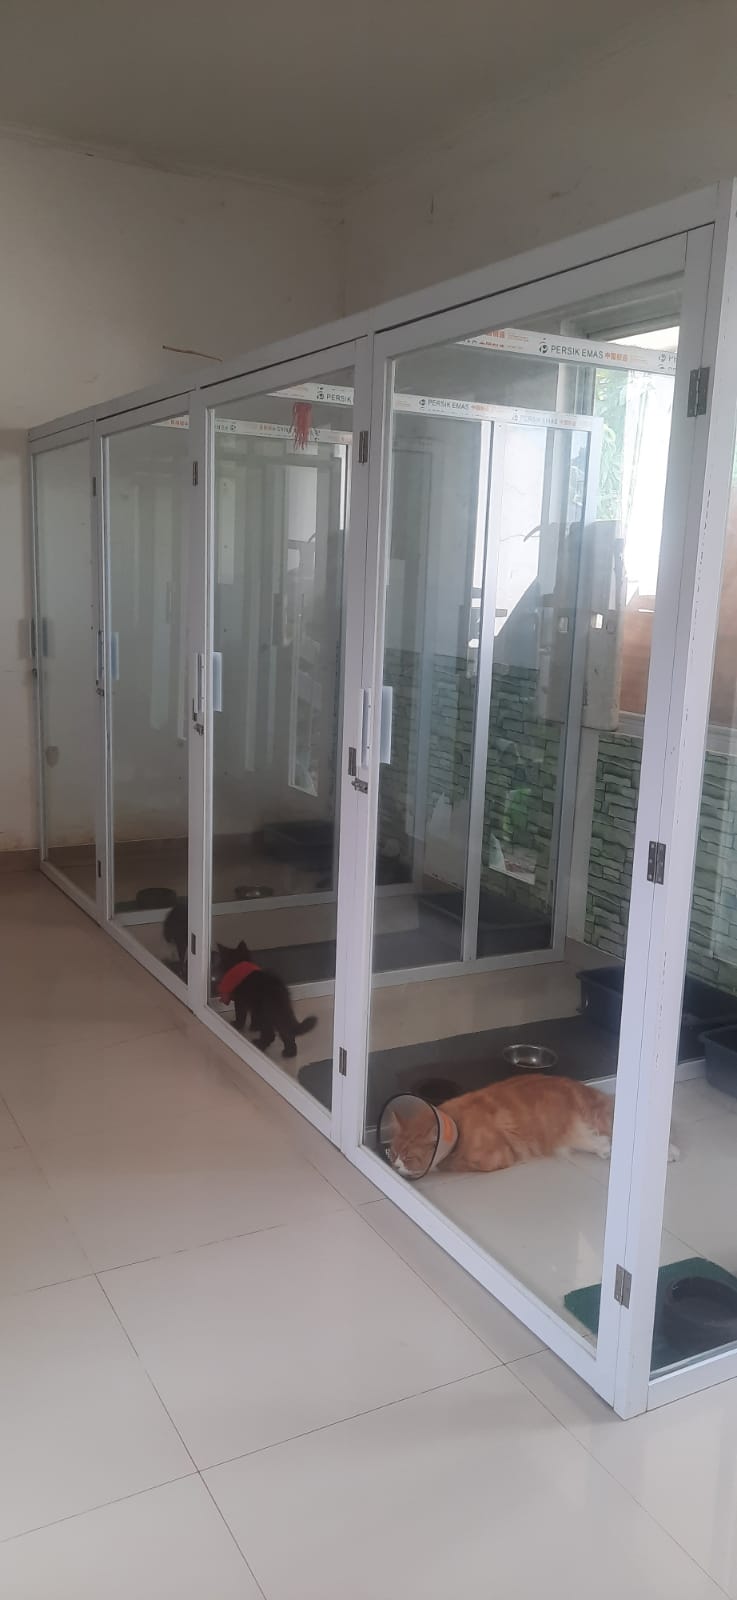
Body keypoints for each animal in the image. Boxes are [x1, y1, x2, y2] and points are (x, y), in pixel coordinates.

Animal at [386, 1073, 680, 1177]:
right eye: (393, 1152)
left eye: (408, 1157)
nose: (395, 1165)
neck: (456, 1125)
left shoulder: (494, 1158)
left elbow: (457, 1165)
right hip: (586, 1136)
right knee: (603, 1142)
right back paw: (605, 1149)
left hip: (599, 1118)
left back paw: (670, 1153)